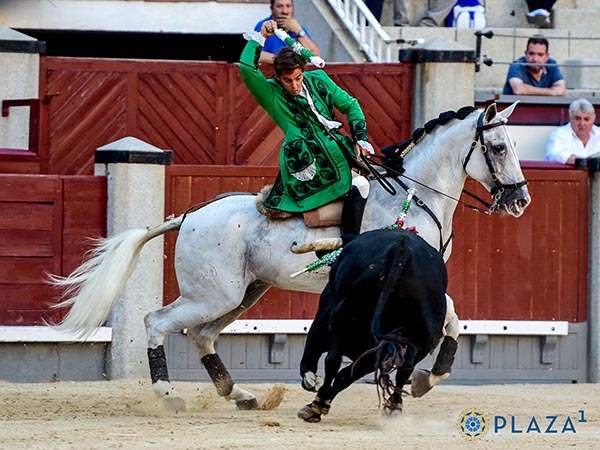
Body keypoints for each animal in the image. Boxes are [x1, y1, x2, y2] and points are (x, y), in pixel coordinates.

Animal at [298, 229, 452, 422]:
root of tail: (402, 248)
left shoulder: (321, 319)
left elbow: (312, 359)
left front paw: (315, 394)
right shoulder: (373, 354)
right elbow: (346, 376)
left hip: (342, 315)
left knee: (332, 360)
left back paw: (318, 403)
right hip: (423, 337)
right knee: (405, 367)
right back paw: (394, 405)